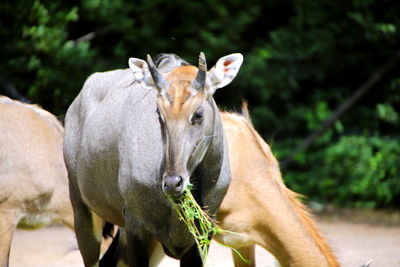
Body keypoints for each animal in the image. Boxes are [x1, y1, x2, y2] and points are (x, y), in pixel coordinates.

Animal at [64, 52, 242, 267]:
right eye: (159, 114)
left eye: (198, 113)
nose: (173, 182)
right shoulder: (136, 225)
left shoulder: (203, 231)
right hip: (83, 211)